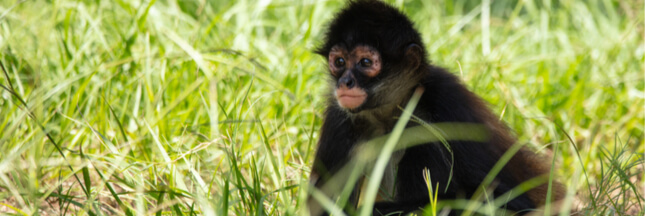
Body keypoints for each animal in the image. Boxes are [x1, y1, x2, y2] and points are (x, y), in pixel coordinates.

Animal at [306, 0, 560, 216]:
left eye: (365, 63)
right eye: (339, 62)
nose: (345, 82)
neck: (387, 117)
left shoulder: (447, 97)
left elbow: (511, 203)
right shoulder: (338, 115)